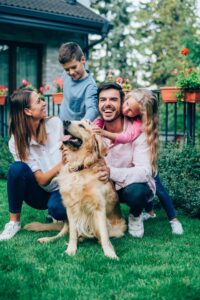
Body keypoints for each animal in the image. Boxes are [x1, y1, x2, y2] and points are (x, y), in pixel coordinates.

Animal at [24, 120, 125, 258]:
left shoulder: (99, 208)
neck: (80, 167)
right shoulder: (71, 208)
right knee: (62, 233)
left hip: (118, 229)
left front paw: (109, 253)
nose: (65, 121)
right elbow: (72, 233)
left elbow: (104, 235)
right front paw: (71, 249)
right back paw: (48, 239)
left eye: (82, 126)